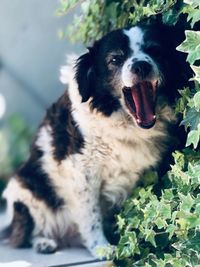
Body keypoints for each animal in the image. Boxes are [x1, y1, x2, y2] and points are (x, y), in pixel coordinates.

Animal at [0, 22, 191, 258]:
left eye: (155, 50)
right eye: (115, 59)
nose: (141, 66)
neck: (121, 123)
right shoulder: (82, 170)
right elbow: (90, 216)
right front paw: (102, 247)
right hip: (26, 196)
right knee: (23, 234)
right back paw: (43, 243)